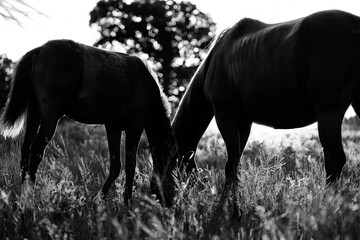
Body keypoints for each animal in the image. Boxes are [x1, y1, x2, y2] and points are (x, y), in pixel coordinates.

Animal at [0, 39, 179, 206]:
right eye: (174, 166)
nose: (170, 203)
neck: (145, 86)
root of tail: (39, 50)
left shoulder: (113, 127)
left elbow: (116, 165)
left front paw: (99, 200)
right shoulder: (135, 126)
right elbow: (130, 165)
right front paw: (127, 204)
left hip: (34, 114)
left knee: (25, 151)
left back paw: (22, 199)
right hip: (50, 118)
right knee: (36, 151)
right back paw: (29, 199)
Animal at [170, 9, 360, 189]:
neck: (215, 62)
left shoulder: (225, 116)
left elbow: (231, 164)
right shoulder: (243, 121)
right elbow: (234, 163)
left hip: (328, 112)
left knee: (334, 158)